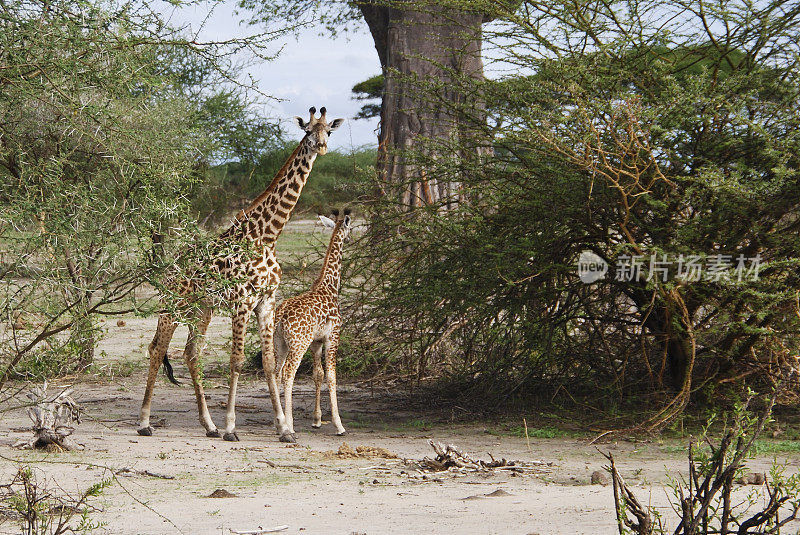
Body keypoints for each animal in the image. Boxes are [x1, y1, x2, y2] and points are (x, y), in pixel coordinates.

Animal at [137, 105, 340, 444]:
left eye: (328, 130)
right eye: (307, 131)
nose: (321, 147)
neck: (267, 236)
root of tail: (168, 268)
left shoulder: (266, 303)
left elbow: (270, 363)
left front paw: (284, 429)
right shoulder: (241, 302)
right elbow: (237, 361)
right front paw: (232, 427)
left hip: (202, 308)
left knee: (192, 353)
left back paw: (209, 425)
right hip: (173, 305)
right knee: (157, 349)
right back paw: (144, 422)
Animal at [276, 207, 350, 438]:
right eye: (350, 227)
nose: (350, 237)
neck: (329, 286)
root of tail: (280, 315)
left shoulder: (316, 342)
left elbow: (318, 375)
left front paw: (317, 420)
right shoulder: (332, 337)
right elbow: (332, 377)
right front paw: (339, 425)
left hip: (280, 343)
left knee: (276, 372)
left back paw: (280, 422)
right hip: (298, 344)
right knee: (288, 374)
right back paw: (289, 426)